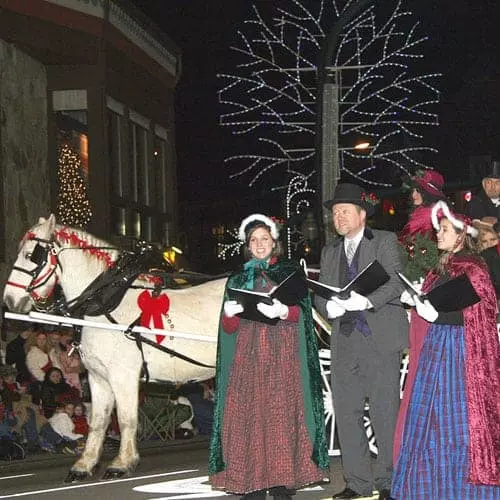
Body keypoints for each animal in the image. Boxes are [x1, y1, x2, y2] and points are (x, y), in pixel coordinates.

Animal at [2, 215, 226, 480]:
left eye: (30, 255)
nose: (10, 300)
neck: (102, 302)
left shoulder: (123, 375)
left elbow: (126, 418)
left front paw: (122, 463)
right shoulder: (98, 377)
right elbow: (98, 421)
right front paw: (84, 465)